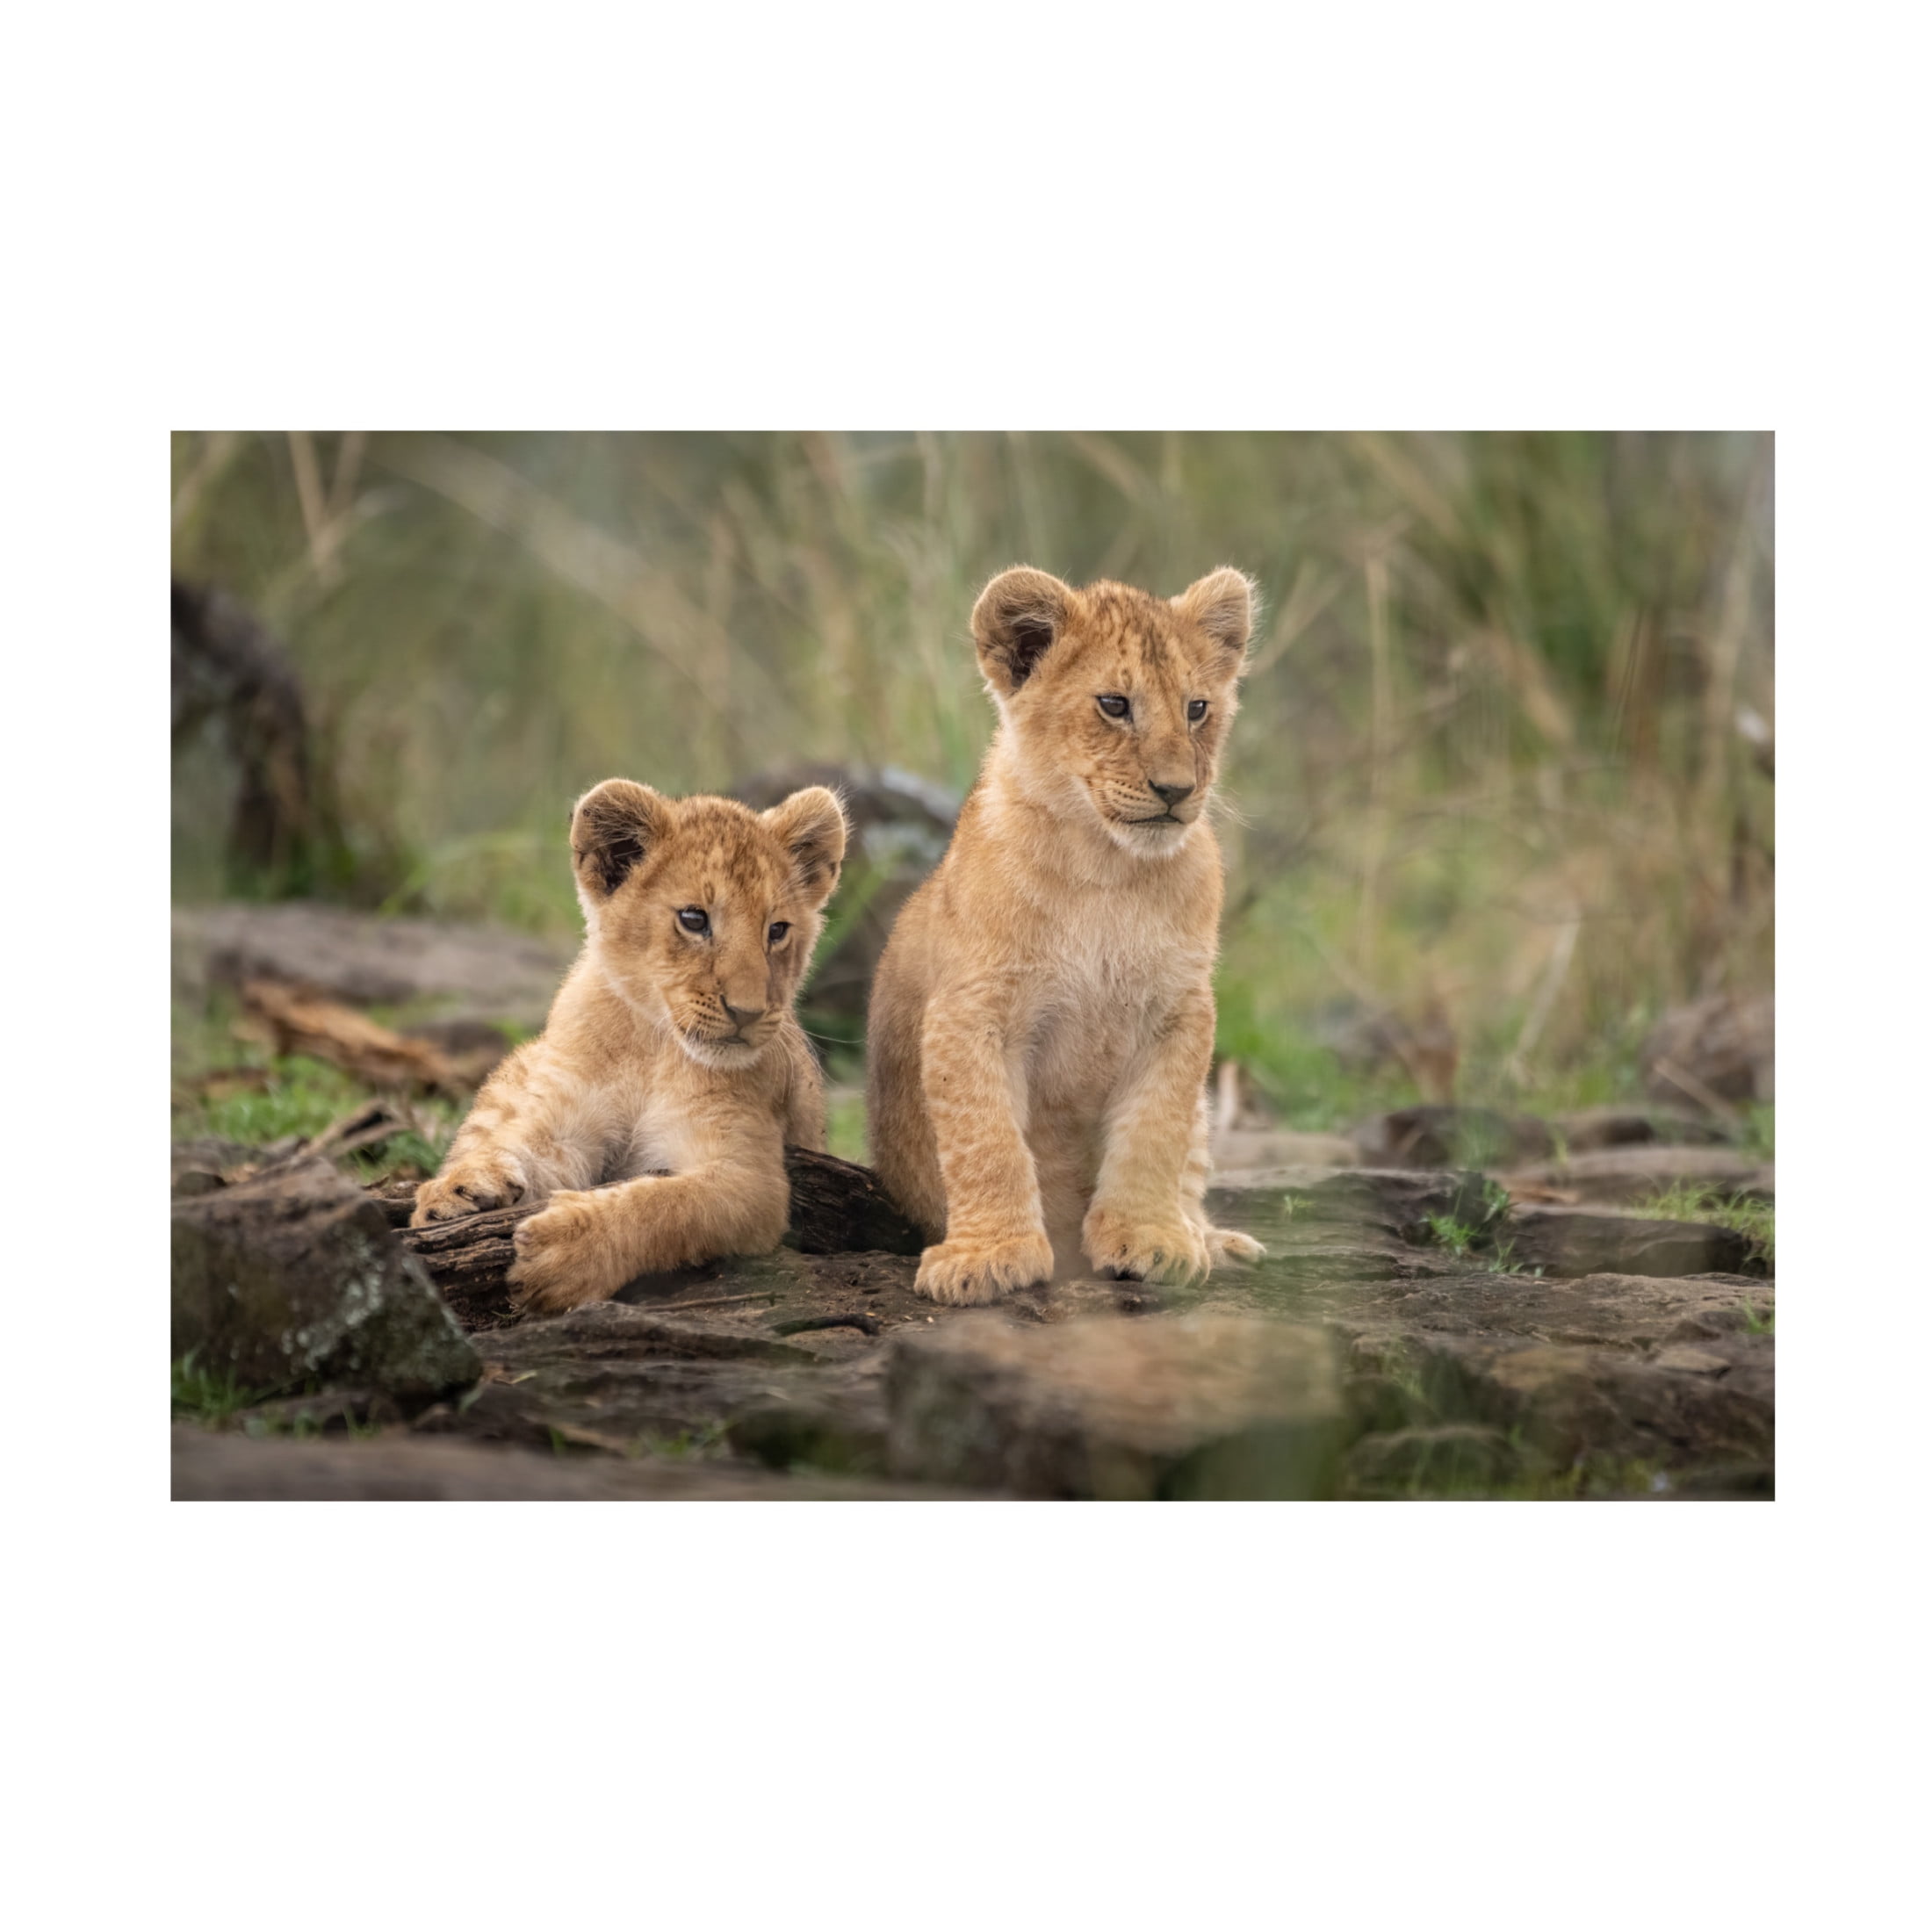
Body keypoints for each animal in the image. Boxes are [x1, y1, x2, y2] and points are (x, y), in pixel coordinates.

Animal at [412, 778, 848, 1315]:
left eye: (778, 930)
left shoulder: (752, 1178)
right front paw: (463, 1188)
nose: (747, 1012)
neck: (651, 1042)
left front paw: (568, 1253)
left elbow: (669, 1204)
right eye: (693, 919)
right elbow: (530, 1150)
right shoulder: (570, 1125)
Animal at [865, 565, 1267, 1305]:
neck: (1106, 868)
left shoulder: (1180, 1010)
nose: (1177, 790)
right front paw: (989, 1255)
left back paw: (1211, 1239)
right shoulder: (973, 1010)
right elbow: (986, 1137)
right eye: (1114, 704)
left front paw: (1152, 1240)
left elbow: (1156, 1132)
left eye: (1197, 709)